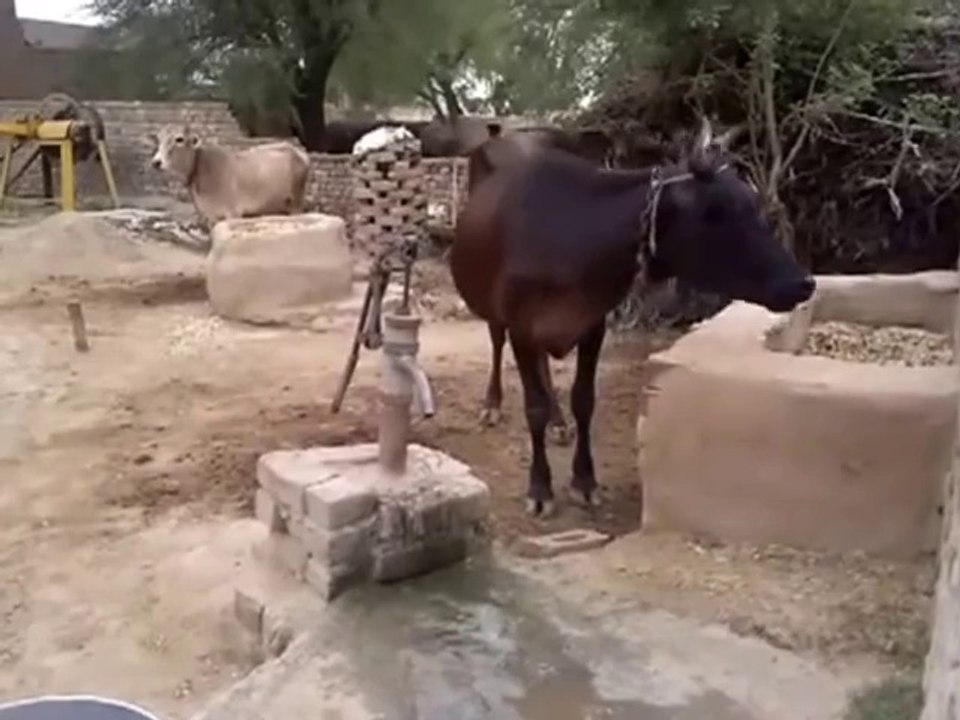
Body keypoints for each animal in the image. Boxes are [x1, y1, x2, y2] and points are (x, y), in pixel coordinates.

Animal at [148, 125, 310, 228]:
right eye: (159, 139)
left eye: (179, 139)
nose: (156, 162)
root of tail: (297, 152)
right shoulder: (211, 216)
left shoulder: (233, 213)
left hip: (296, 204)